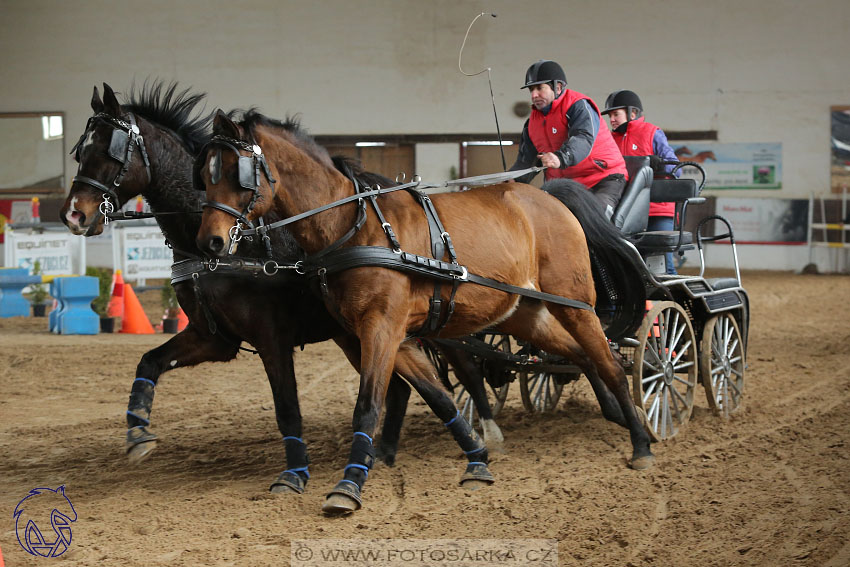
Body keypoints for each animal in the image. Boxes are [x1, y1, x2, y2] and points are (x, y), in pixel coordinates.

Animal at [57, 84, 420, 496]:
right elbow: (149, 361)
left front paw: (295, 473)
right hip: (352, 335)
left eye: (110, 151)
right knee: (397, 387)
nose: (73, 214)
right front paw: (138, 433)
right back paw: (386, 453)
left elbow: (287, 408)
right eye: (80, 151)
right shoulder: (212, 337)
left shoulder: (272, 337)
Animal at [195, 110, 652, 516]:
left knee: (610, 362)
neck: (353, 225)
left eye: (238, 173)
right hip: (525, 314)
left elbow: (369, 404)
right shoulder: (379, 335)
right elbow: (439, 397)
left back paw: (641, 442)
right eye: (205, 173)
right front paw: (478, 460)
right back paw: (616, 415)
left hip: (575, 304)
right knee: (576, 355)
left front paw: (348, 485)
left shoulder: (382, 326)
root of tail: (550, 198)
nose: (210, 242)